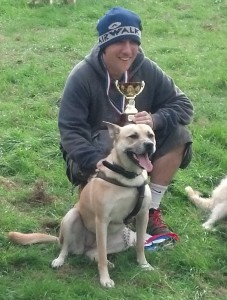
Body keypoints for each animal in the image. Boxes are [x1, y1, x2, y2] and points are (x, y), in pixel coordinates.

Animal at [9, 122, 157, 288]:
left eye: (150, 135)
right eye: (133, 136)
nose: (149, 145)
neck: (128, 177)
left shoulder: (142, 215)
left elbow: (140, 246)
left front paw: (144, 265)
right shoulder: (102, 220)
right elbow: (102, 253)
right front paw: (105, 279)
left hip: (124, 240)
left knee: (92, 253)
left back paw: (106, 261)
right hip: (71, 217)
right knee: (67, 248)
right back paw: (60, 260)